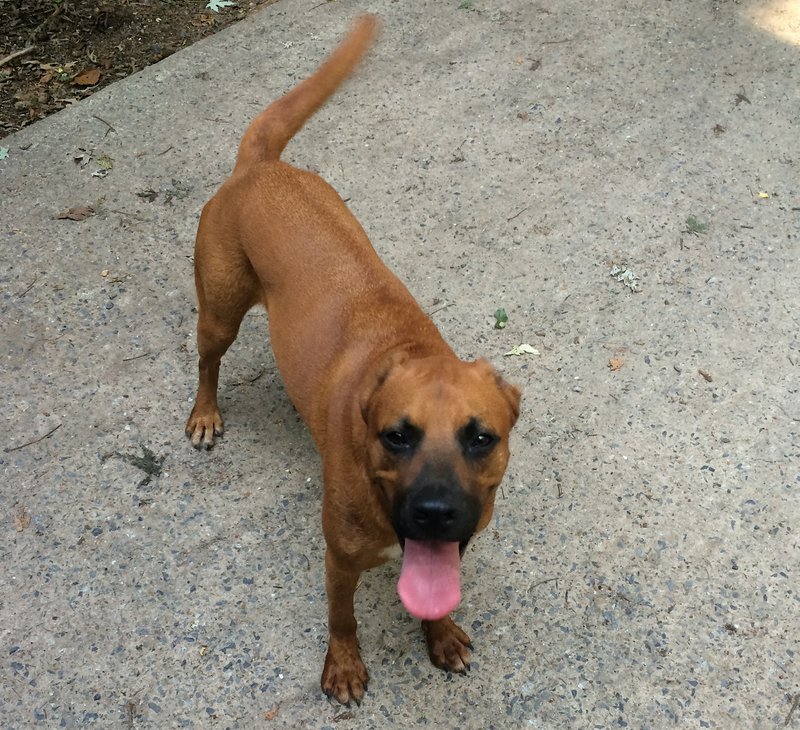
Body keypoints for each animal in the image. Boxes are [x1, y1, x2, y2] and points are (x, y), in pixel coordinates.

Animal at [187, 15, 520, 700]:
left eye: (482, 438)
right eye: (397, 435)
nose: (436, 514)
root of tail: (260, 166)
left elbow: (435, 601)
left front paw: (439, 635)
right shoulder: (338, 557)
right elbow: (342, 617)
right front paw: (342, 664)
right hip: (219, 314)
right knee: (207, 362)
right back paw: (205, 413)